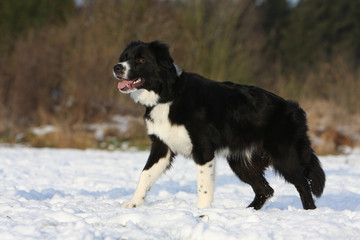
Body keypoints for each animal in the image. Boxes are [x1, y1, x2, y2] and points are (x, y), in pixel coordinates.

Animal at [113, 41, 326, 210]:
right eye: (124, 57)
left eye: (141, 60)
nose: (117, 68)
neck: (168, 95)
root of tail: (294, 108)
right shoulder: (162, 147)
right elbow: (145, 175)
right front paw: (134, 204)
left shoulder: (203, 149)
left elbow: (204, 186)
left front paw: (201, 212)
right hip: (241, 162)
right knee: (266, 190)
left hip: (285, 157)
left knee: (303, 184)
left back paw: (309, 212)